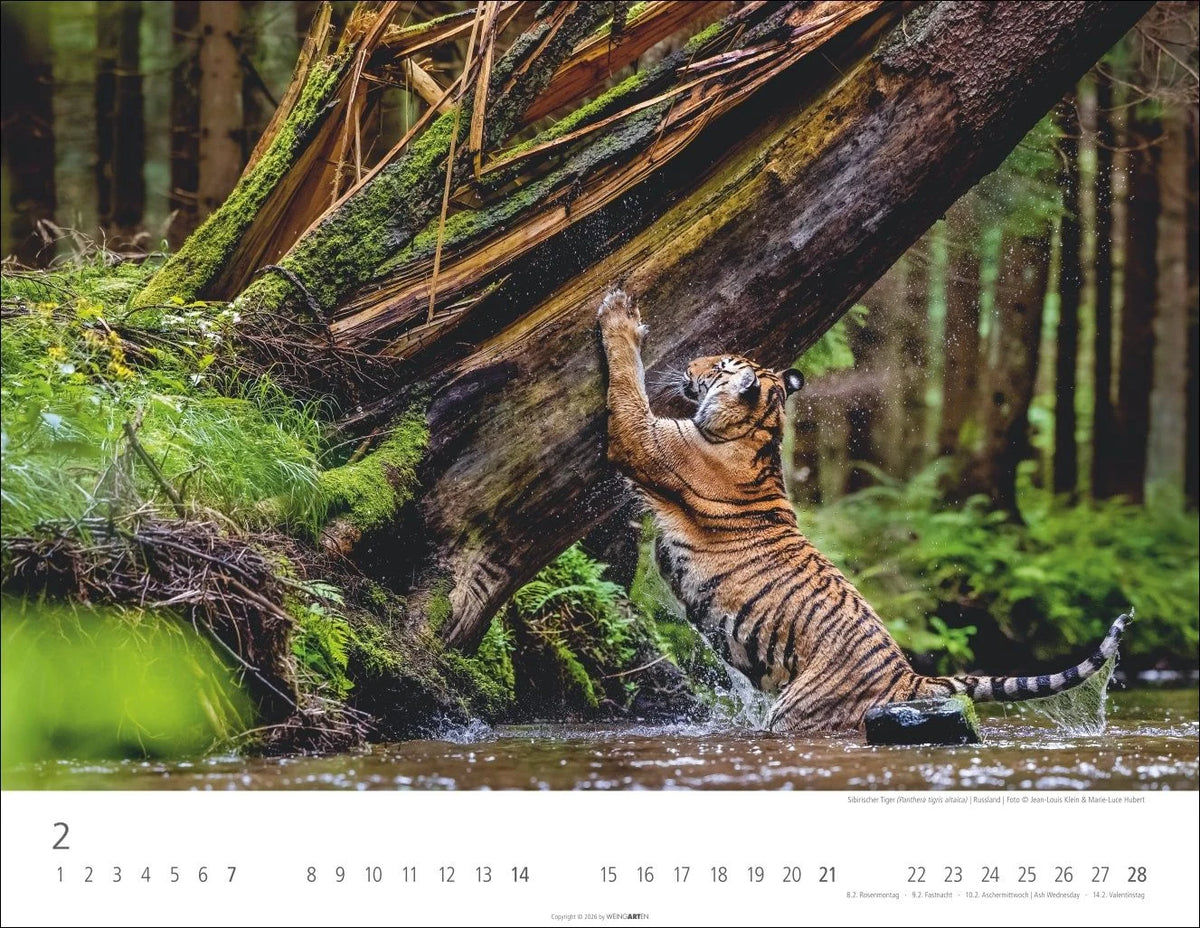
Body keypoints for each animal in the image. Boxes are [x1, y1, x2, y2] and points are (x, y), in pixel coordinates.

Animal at [596, 288, 1128, 734]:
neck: (762, 429)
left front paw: (619, 315)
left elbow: (626, 383)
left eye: (721, 365)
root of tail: (912, 677)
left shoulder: (642, 439)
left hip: (797, 711)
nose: (693, 361)